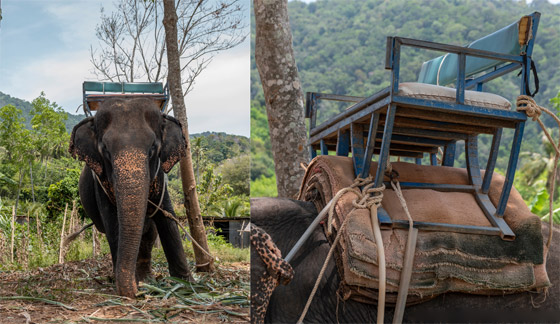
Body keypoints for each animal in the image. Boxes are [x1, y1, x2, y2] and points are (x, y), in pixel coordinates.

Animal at [69, 97, 192, 298]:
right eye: (106, 150)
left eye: (152, 148)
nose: (136, 292)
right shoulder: (99, 184)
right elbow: (113, 224)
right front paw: (127, 285)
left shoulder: (159, 178)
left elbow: (167, 218)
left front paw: (187, 285)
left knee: (149, 234)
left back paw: (147, 279)